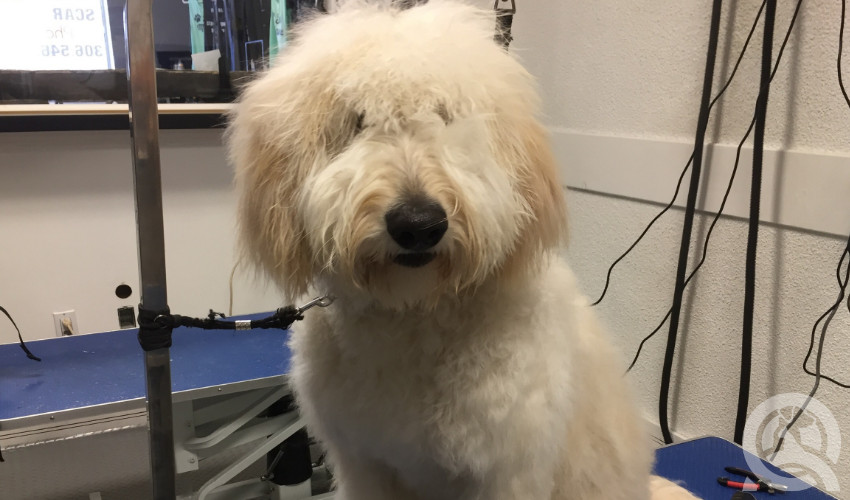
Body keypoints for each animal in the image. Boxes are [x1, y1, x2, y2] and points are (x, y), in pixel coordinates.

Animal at [229, 0, 700, 500]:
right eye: (357, 121)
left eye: (445, 115)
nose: (418, 224)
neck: (415, 314)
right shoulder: (364, 463)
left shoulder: (508, 469)